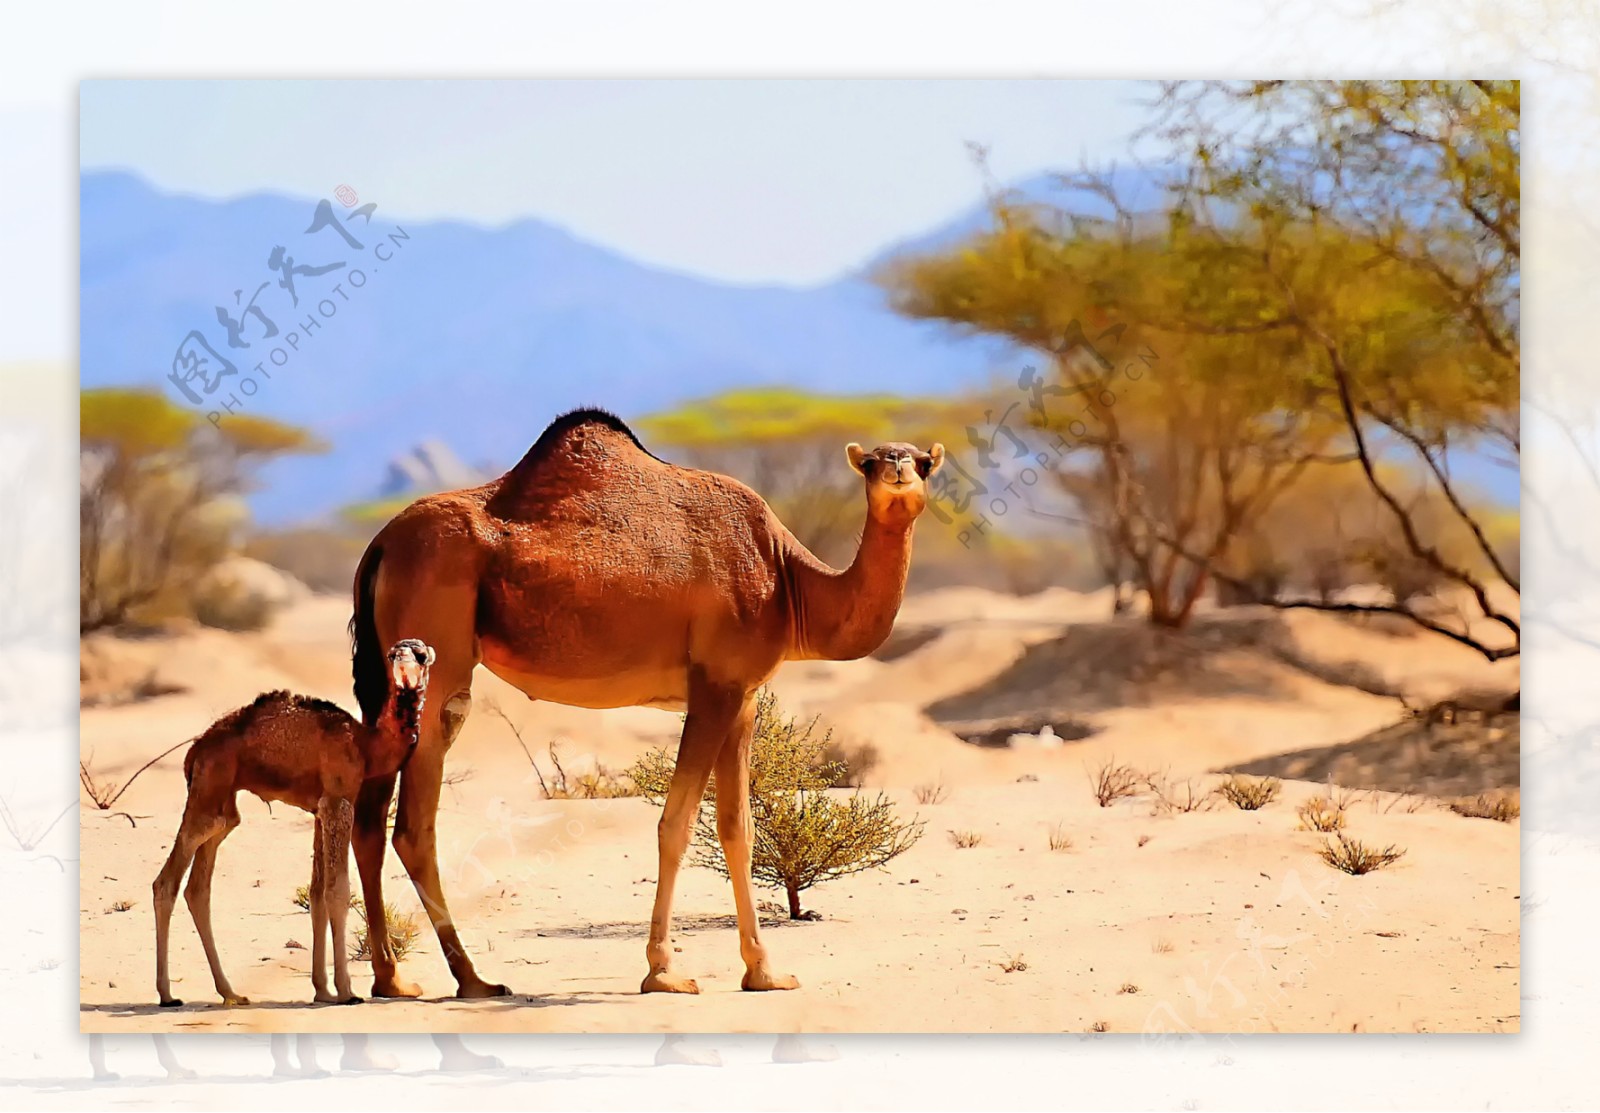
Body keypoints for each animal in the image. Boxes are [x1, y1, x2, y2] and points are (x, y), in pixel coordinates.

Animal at [152, 633, 435, 1010]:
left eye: (420, 654)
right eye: (393, 654)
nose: (402, 658)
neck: (367, 745)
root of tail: (195, 751)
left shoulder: (319, 810)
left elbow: (317, 894)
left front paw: (323, 990)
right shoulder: (338, 800)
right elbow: (337, 891)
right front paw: (346, 991)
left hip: (222, 804)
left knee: (198, 888)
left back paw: (230, 992)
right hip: (208, 791)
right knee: (166, 883)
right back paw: (168, 994)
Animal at [353, 409, 934, 997]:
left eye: (923, 462)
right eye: (870, 462)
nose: (898, 469)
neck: (788, 581)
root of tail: (380, 546)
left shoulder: (743, 697)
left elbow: (738, 829)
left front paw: (765, 972)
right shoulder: (715, 687)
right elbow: (675, 826)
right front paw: (664, 972)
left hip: (390, 681)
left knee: (369, 818)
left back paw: (391, 979)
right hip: (438, 665)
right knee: (413, 827)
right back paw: (472, 979)